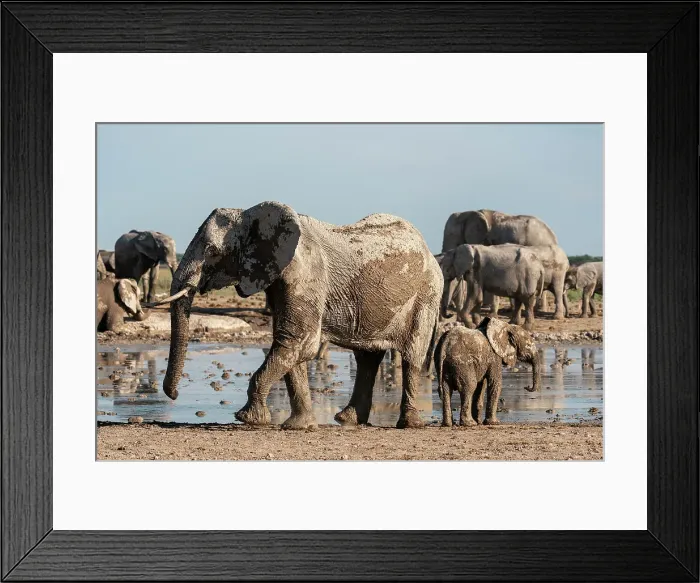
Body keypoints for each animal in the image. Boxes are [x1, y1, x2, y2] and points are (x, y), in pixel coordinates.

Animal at [153, 201, 442, 429]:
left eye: (212, 252)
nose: (174, 395)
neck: (252, 215)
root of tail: (428, 249)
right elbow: (292, 346)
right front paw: (298, 426)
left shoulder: (304, 273)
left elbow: (297, 341)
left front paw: (249, 419)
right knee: (367, 359)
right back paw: (347, 420)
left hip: (427, 294)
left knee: (412, 354)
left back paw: (409, 424)